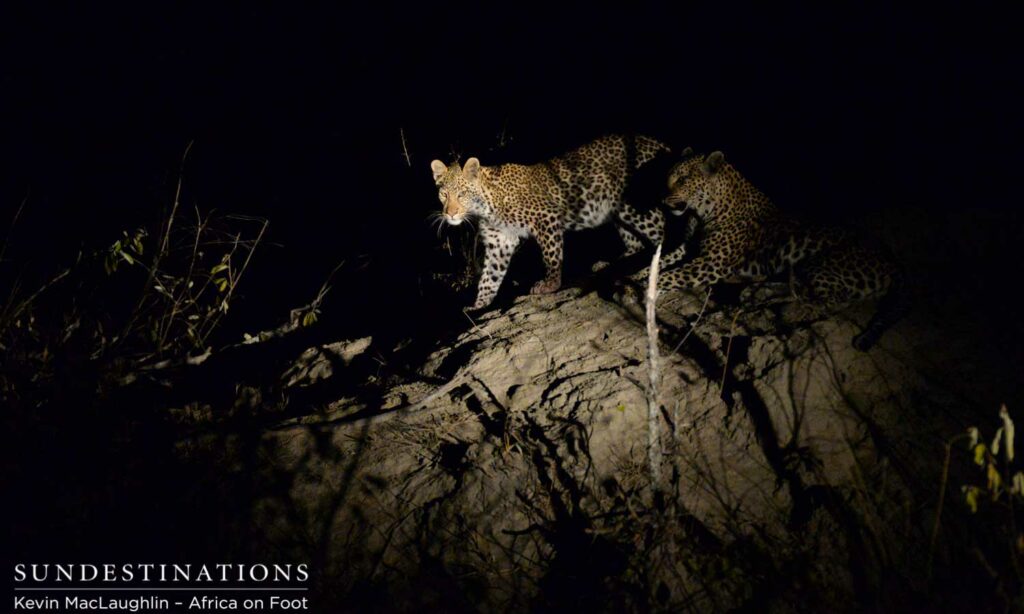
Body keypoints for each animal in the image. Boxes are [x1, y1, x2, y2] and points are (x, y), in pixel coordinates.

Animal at [431, 134, 679, 310]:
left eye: (462, 194)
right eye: (444, 194)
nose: (450, 214)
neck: (486, 206)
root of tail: (659, 144)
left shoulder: (546, 218)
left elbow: (551, 256)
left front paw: (550, 285)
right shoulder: (499, 242)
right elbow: (489, 277)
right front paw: (479, 305)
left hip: (635, 205)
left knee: (666, 232)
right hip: (619, 211)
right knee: (635, 242)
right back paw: (612, 263)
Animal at [654, 149, 908, 351]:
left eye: (683, 179)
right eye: (667, 178)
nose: (663, 201)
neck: (702, 212)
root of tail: (893, 261)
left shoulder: (711, 263)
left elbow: (670, 275)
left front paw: (647, 287)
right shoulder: (686, 248)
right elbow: (658, 264)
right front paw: (645, 276)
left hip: (820, 263)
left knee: (833, 301)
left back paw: (781, 309)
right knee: (800, 289)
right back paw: (755, 293)